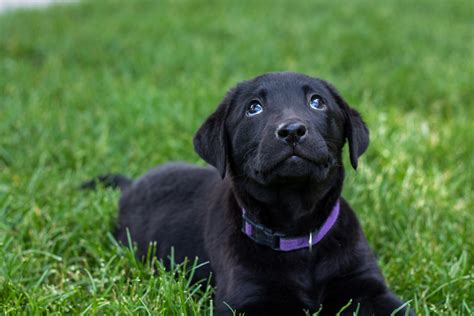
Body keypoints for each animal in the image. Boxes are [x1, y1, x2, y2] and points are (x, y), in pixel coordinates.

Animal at [85, 73, 412, 314]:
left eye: (317, 102)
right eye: (254, 108)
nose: (292, 130)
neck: (299, 235)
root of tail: (133, 184)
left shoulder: (367, 287)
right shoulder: (247, 299)